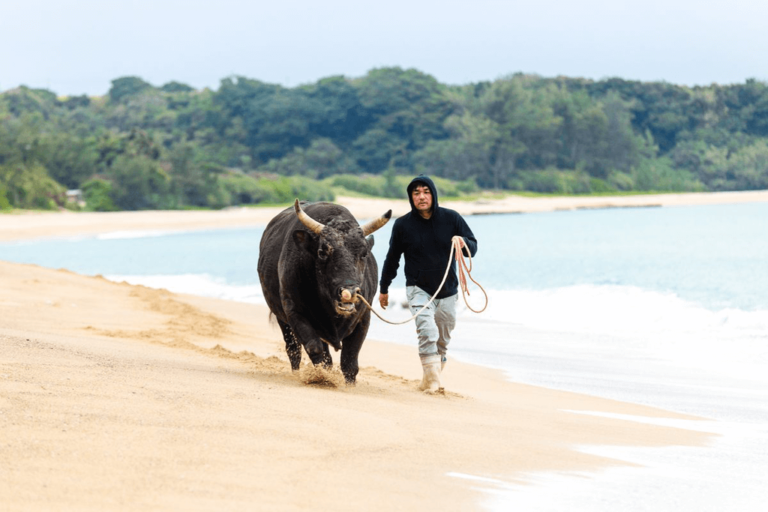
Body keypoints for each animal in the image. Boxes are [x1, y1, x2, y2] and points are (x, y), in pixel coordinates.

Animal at [257, 200, 392, 383]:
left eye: (364, 254)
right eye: (322, 252)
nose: (349, 291)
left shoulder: (364, 317)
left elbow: (350, 361)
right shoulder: (294, 312)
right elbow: (315, 348)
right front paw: (322, 377)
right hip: (282, 319)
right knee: (293, 350)